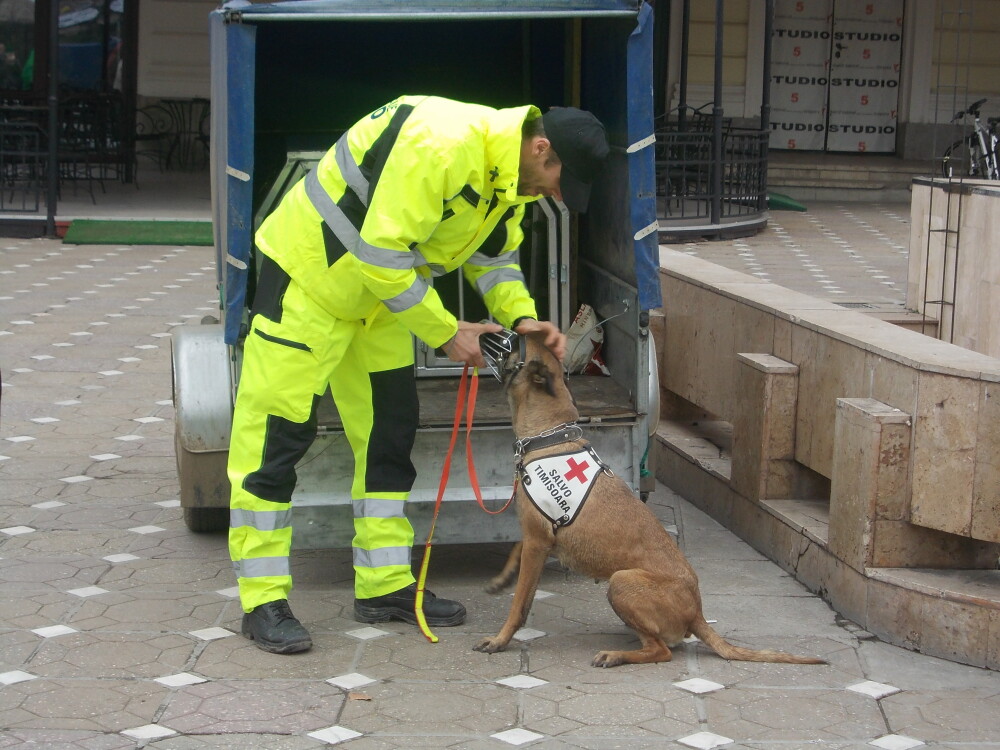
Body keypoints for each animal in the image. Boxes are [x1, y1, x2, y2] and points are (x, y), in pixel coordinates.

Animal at [472, 334, 824, 668]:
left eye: (513, 340)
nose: (480, 333)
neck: (550, 436)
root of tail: (697, 613)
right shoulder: (536, 535)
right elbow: (515, 553)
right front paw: (502, 579)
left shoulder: (537, 542)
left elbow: (520, 603)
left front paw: (500, 639)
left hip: (621, 581)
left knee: (660, 651)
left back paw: (615, 655)